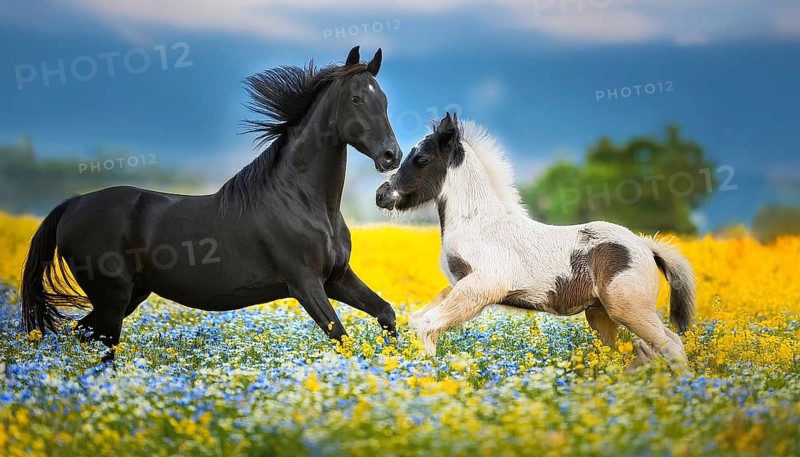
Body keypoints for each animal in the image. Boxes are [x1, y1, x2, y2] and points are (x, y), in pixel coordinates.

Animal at [21, 46, 402, 358]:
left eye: (385, 100)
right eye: (356, 98)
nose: (391, 156)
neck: (306, 202)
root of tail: (73, 204)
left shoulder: (336, 277)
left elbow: (386, 312)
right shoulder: (305, 285)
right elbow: (342, 338)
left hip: (129, 294)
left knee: (81, 334)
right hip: (112, 296)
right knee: (99, 345)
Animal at [376, 113, 696, 371]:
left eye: (422, 159)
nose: (381, 195)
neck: (478, 223)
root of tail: (646, 246)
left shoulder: (483, 287)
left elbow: (428, 325)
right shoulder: (460, 284)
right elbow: (416, 319)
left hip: (630, 310)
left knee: (670, 345)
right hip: (600, 314)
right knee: (633, 354)